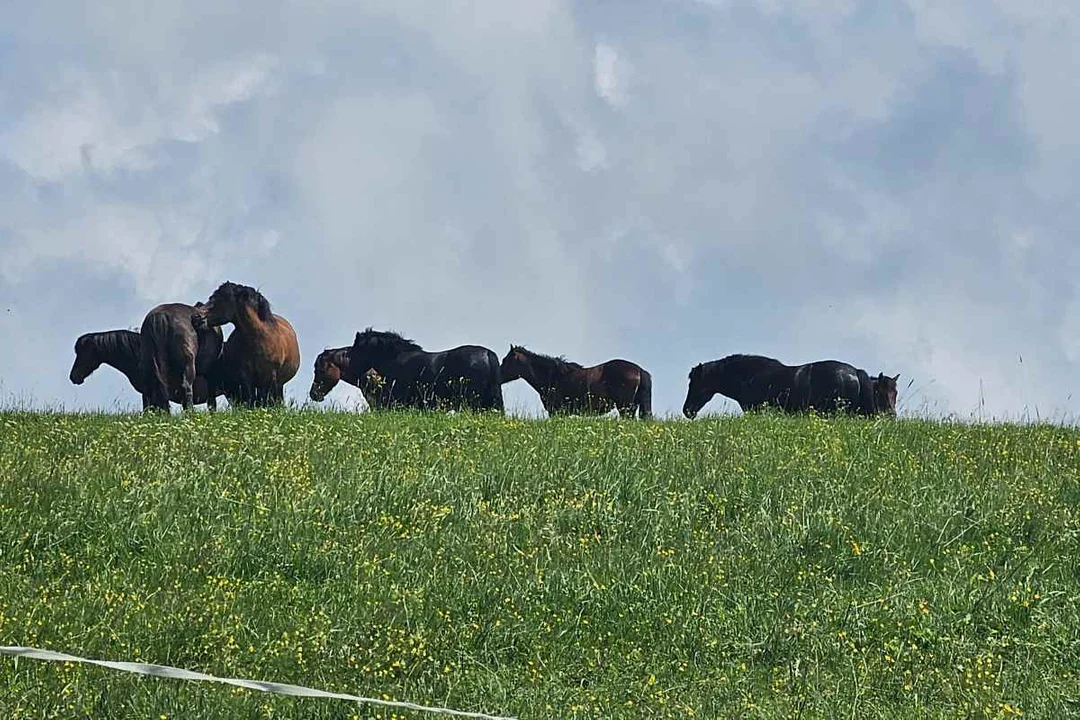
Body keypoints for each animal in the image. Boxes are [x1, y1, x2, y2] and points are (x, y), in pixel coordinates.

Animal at [496, 345, 648, 418]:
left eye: (505, 360)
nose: (497, 376)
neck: (553, 376)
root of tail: (639, 370)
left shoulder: (556, 412)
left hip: (625, 407)